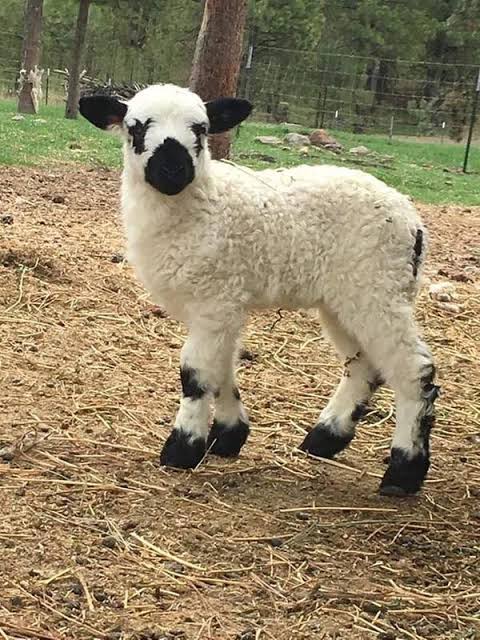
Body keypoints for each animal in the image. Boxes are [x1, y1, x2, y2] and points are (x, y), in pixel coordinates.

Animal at [79, 83, 439, 496]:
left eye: (202, 129)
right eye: (135, 128)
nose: (172, 169)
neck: (203, 206)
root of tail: (413, 223)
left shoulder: (216, 298)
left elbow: (196, 374)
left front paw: (183, 448)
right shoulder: (224, 305)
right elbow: (221, 369)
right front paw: (228, 436)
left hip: (378, 287)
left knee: (414, 371)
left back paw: (404, 471)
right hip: (344, 298)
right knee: (364, 365)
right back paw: (325, 438)